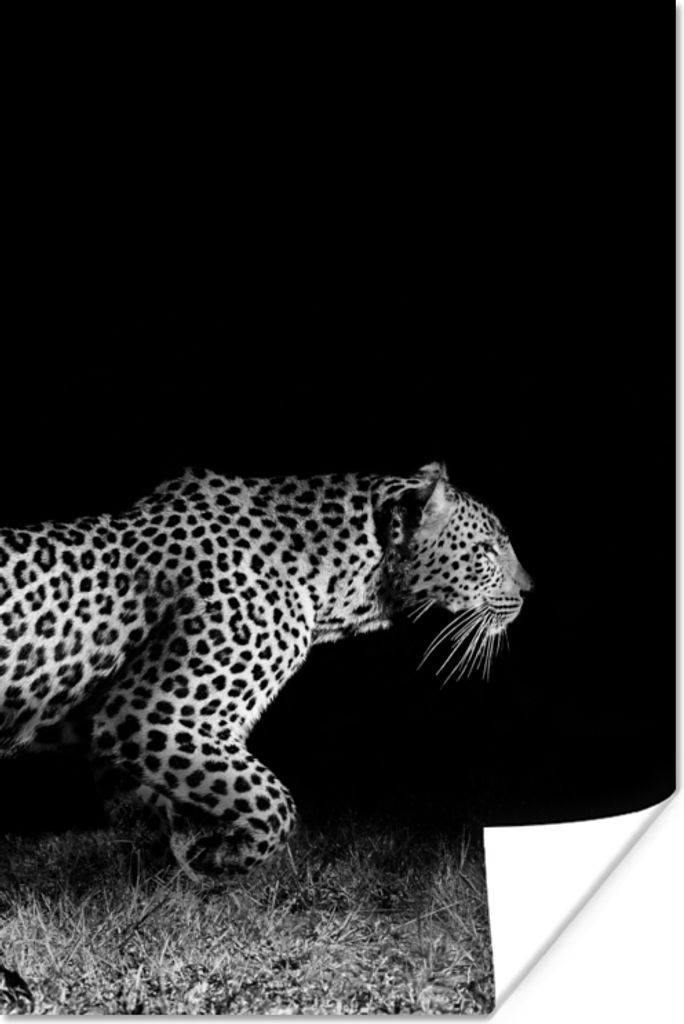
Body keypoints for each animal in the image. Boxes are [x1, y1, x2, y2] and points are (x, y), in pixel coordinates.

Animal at [0, 462, 532, 879]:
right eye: (488, 550)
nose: (529, 589)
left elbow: (151, 815)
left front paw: (167, 880)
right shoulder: (151, 715)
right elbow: (272, 801)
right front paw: (224, 859)